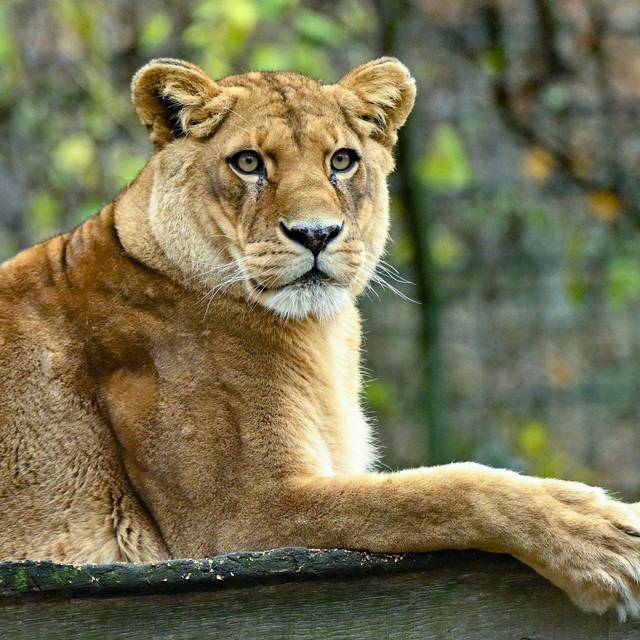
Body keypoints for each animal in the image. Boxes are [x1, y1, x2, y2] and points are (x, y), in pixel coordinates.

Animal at [1, 56, 639, 619]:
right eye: (249, 162)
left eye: (342, 160)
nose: (315, 234)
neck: (318, 332)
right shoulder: (238, 515)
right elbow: (439, 491)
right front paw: (603, 536)